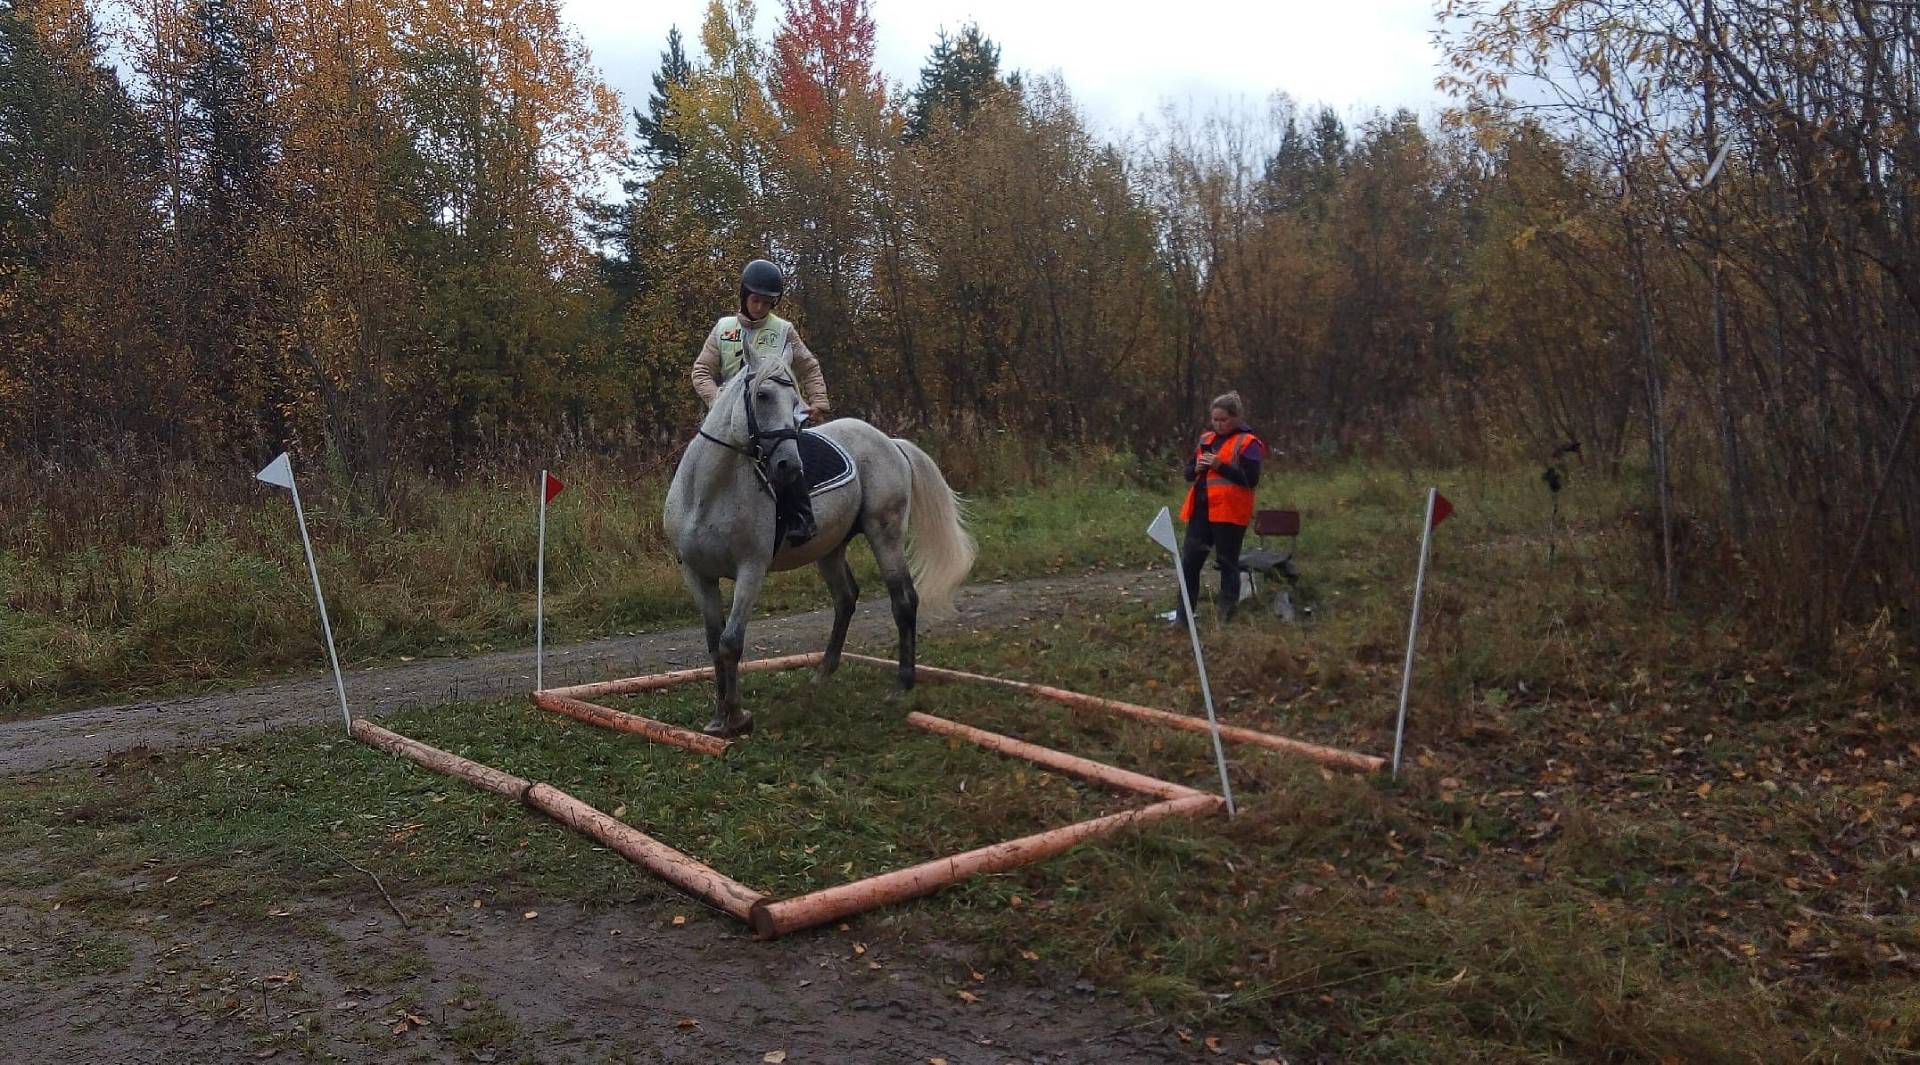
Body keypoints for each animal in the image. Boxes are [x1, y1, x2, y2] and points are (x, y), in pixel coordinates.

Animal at [672, 349, 975, 740]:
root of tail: (890, 442)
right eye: (762, 396)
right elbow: (713, 643)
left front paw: (736, 717)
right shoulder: (698, 575)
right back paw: (822, 674)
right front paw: (719, 717)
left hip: (885, 533)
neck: (708, 493)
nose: (788, 466)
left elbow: (731, 642)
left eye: (795, 401)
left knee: (904, 600)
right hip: (830, 549)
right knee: (845, 598)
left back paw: (902, 685)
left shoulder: (751, 570)